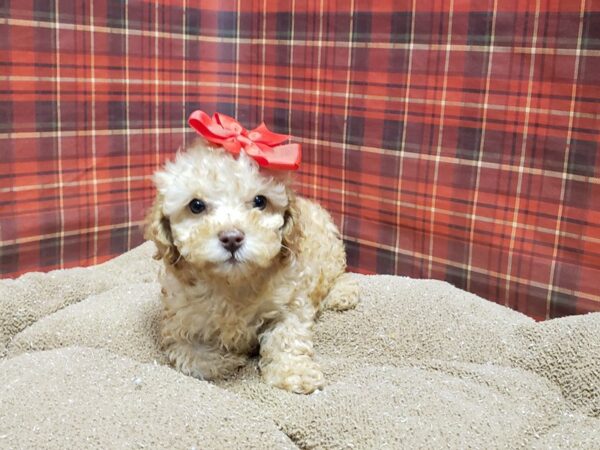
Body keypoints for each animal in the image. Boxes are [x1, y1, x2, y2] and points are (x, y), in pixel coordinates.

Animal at [145, 141, 358, 394]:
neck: (233, 282)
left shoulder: (291, 302)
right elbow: (191, 356)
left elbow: (286, 337)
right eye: (196, 205)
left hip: (331, 253)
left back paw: (342, 293)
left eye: (260, 201)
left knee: (339, 273)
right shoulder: (178, 321)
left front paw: (295, 373)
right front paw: (224, 359)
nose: (232, 238)